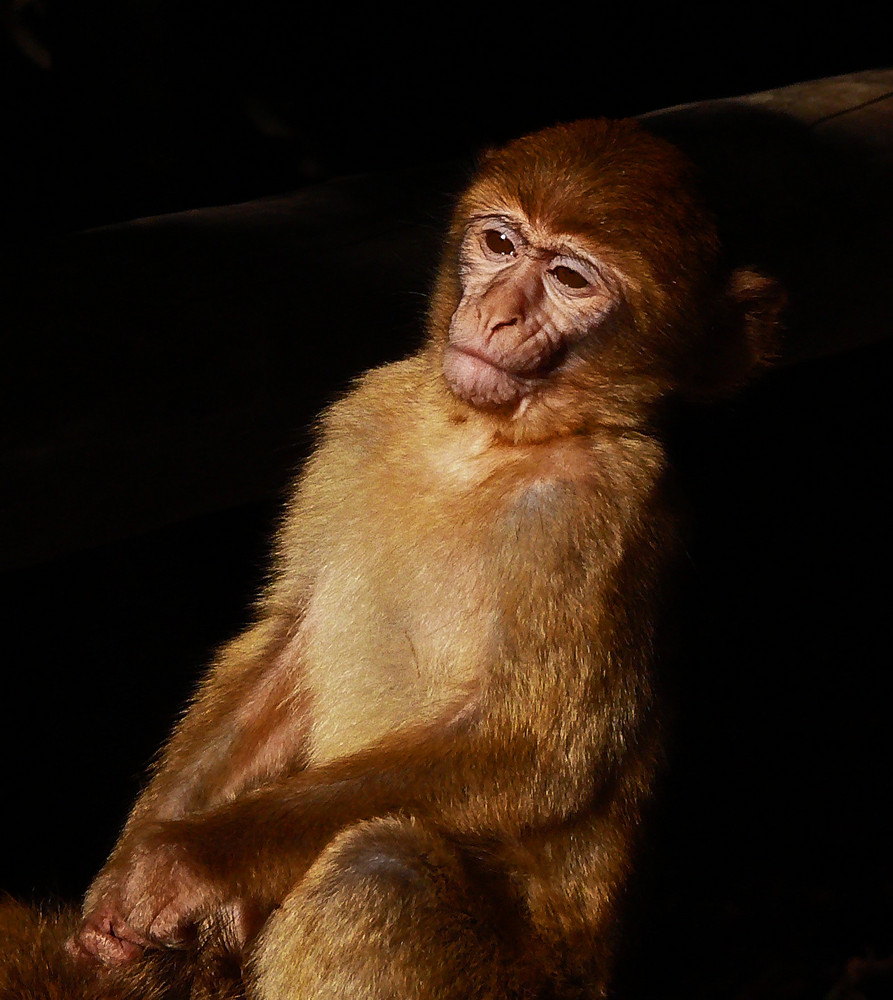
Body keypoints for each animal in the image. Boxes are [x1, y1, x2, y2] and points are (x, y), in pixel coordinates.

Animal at [0, 119, 780, 1000]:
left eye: (570, 279)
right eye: (500, 243)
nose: (496, 313)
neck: (478, 445)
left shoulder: (600, 509)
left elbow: (538, 753)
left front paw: (187, 863)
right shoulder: (366, 413)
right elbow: (288, 647)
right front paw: (119, 887)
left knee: (378, 870)